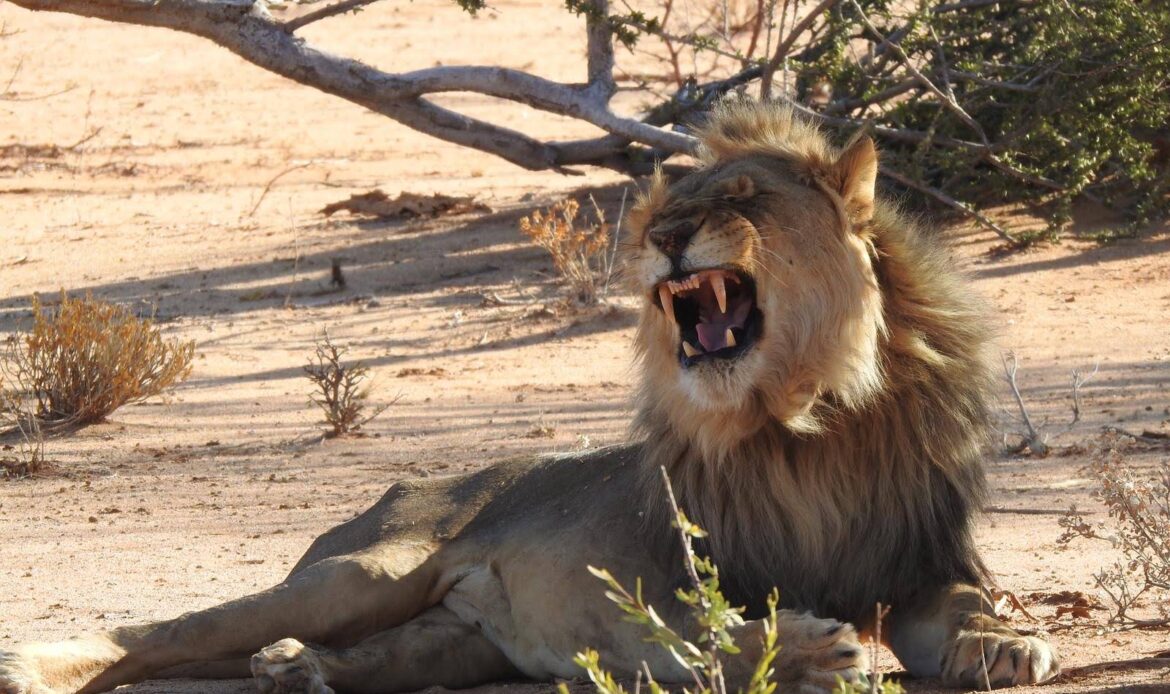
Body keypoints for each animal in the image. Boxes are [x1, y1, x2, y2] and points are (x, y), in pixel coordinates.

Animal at [0, 102, 1059, 694]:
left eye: (742, 199)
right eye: (665, 209)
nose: (663, 236)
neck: (808, 420)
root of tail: (396, 488)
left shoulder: (918, 560)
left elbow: (964, 605)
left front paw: (1007, 643)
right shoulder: (663, 578)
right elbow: (704, 639)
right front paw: (801, 652)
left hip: (447, 644)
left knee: (353, 659)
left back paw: (297, 670)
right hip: (365, 572)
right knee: (160, 636)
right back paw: (38, 668)